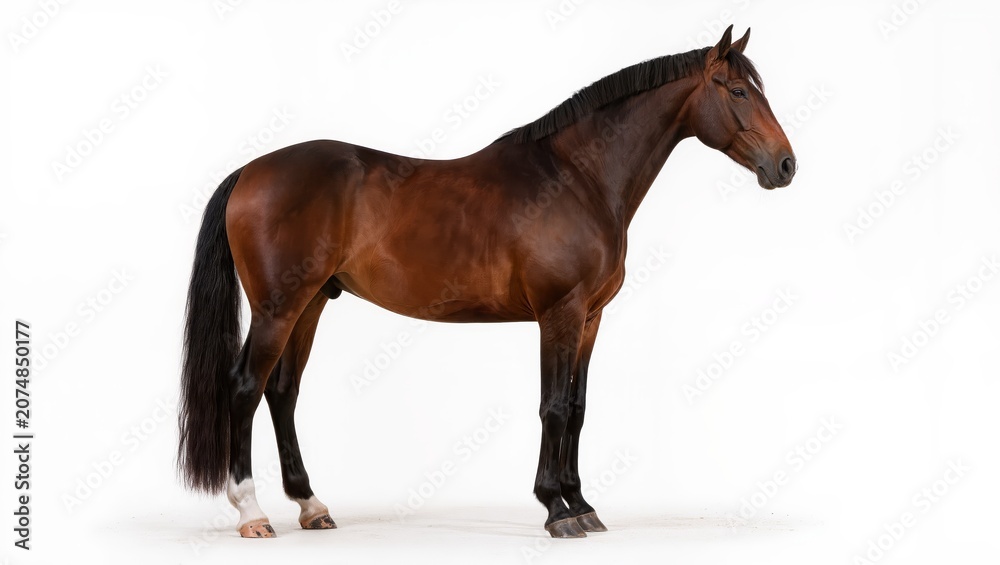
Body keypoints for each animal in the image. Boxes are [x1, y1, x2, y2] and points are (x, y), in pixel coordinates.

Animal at [178, 25, 795, 539]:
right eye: (736, 91)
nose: (786, 165)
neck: (578, 178)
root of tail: (250, 171)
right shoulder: (559, 313)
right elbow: (553, 407)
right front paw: (556, 510)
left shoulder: (591, 318)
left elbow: (578, 409)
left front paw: (583, 505)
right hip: (277, 308)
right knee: (244, 388)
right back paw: (253, 513)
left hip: (311, 304)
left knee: (282, 393)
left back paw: (312, 506)